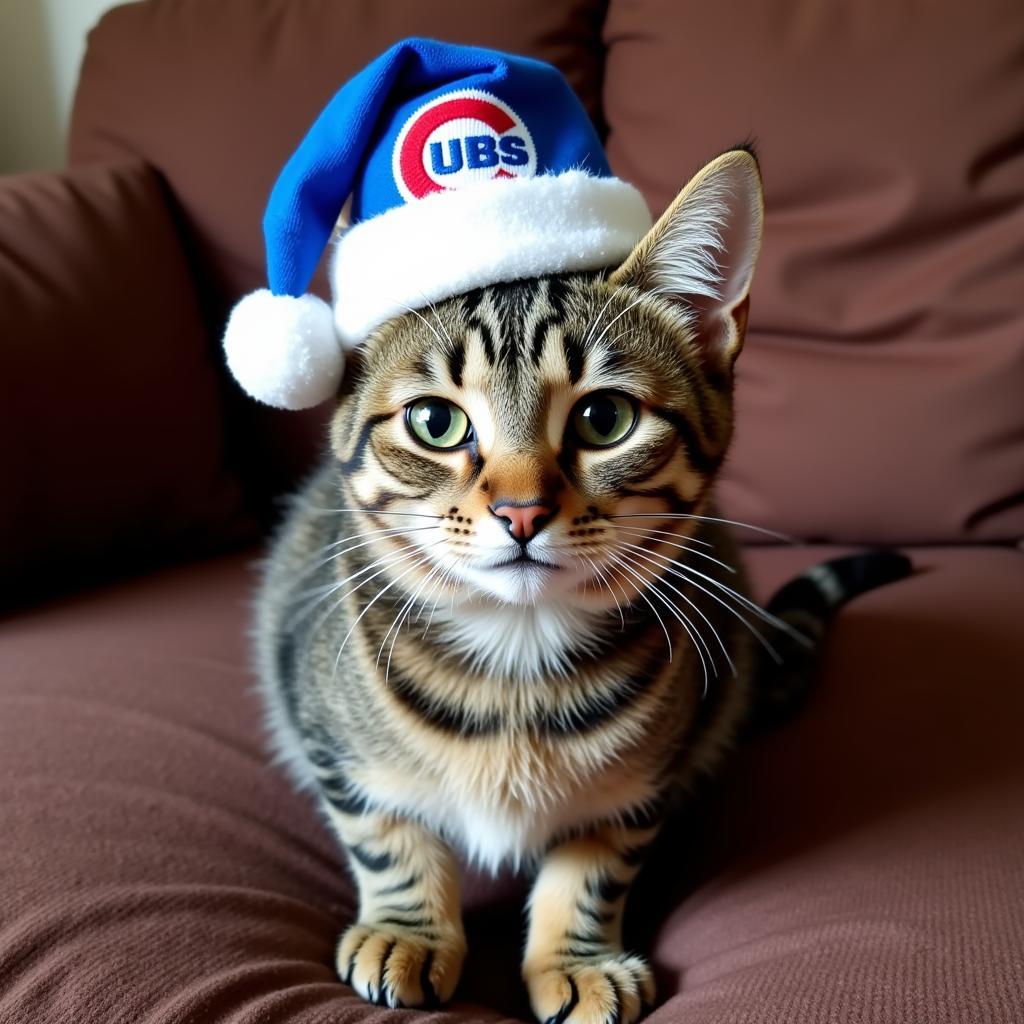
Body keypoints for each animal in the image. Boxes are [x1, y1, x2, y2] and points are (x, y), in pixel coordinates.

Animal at [256, 149, 913, 1024]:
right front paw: (409, 933)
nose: (521, 510)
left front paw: (577, 960)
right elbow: (387, 836)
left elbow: (595, 869)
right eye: (435, 423)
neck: (517, 658)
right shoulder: (332, 741)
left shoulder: (641, 786)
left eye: (605, 419)